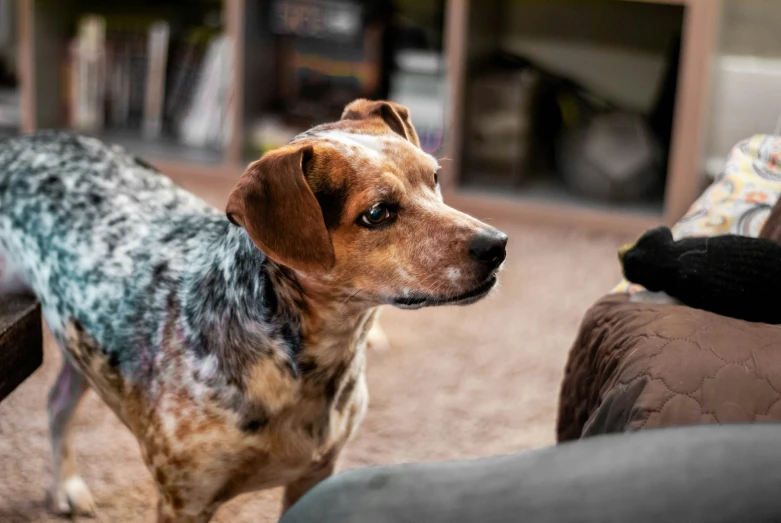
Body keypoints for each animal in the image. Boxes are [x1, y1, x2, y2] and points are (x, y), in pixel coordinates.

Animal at [0, 100, 508, 520]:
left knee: (58, 402)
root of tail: (19, 141)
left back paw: (66, 486)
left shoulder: (314, 478)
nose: (497, 245)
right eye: (377, 213)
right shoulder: (185, 500)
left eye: (434, 178)